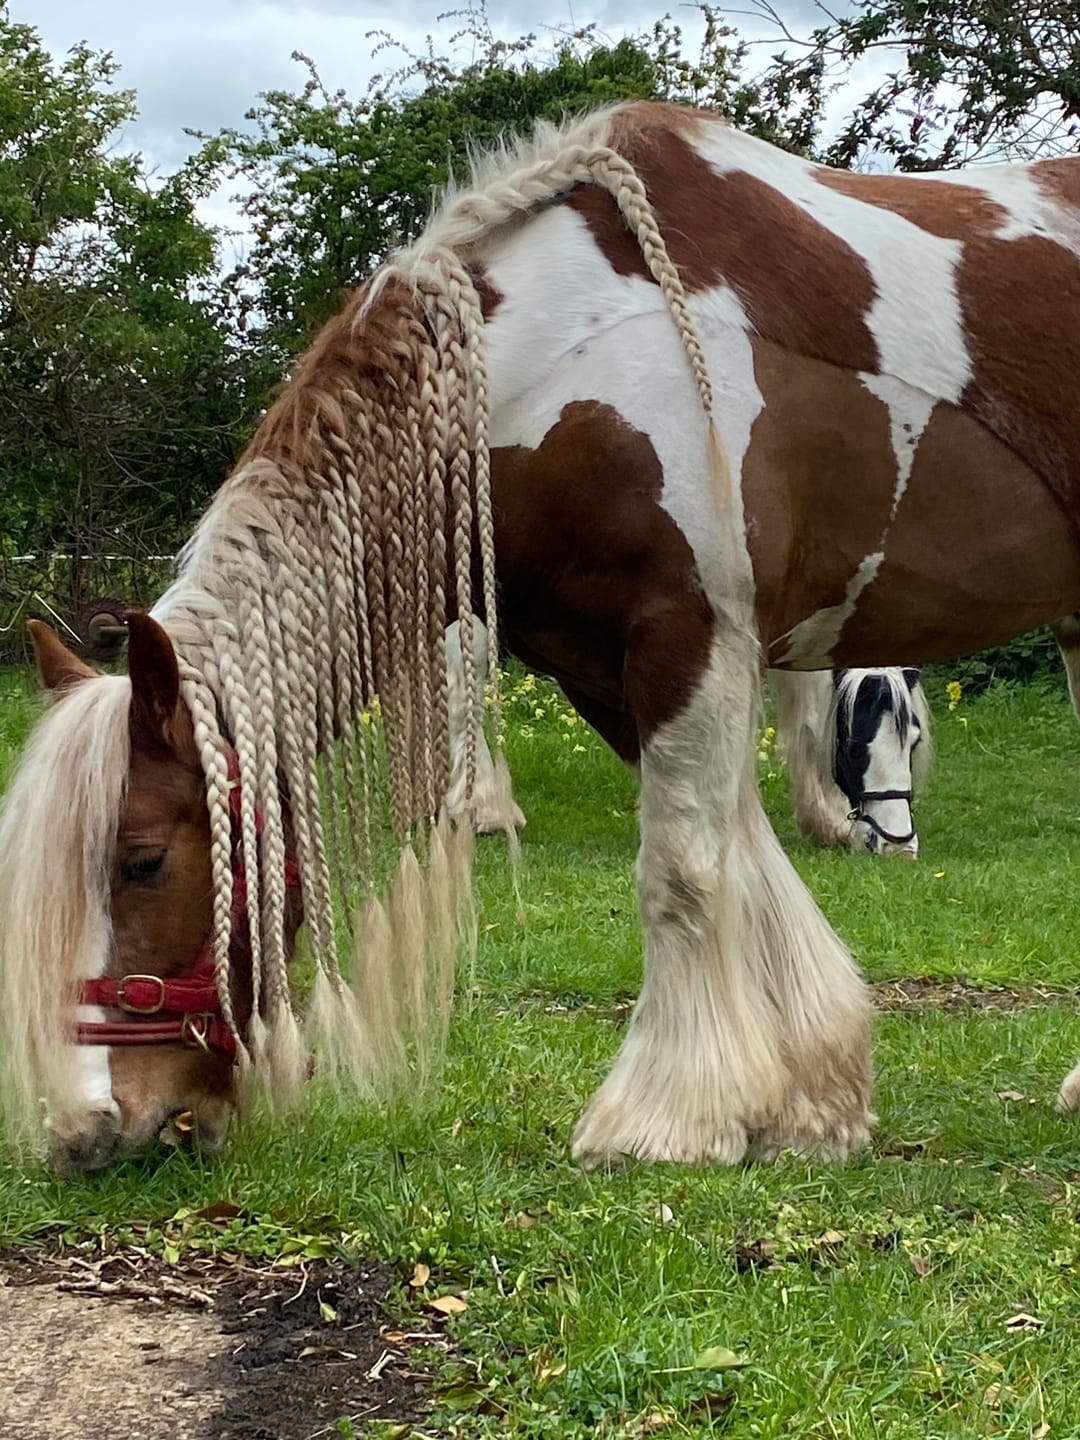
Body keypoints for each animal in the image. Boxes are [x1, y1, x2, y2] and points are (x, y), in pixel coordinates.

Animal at [4, 99, 1080, 1172]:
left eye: (143, 861)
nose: (85, 1134)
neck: (561, 358)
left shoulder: (688, 635)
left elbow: (683, 873)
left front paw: (664, 1120)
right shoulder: (615, 670)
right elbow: (743, 856)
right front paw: (809, 1100)